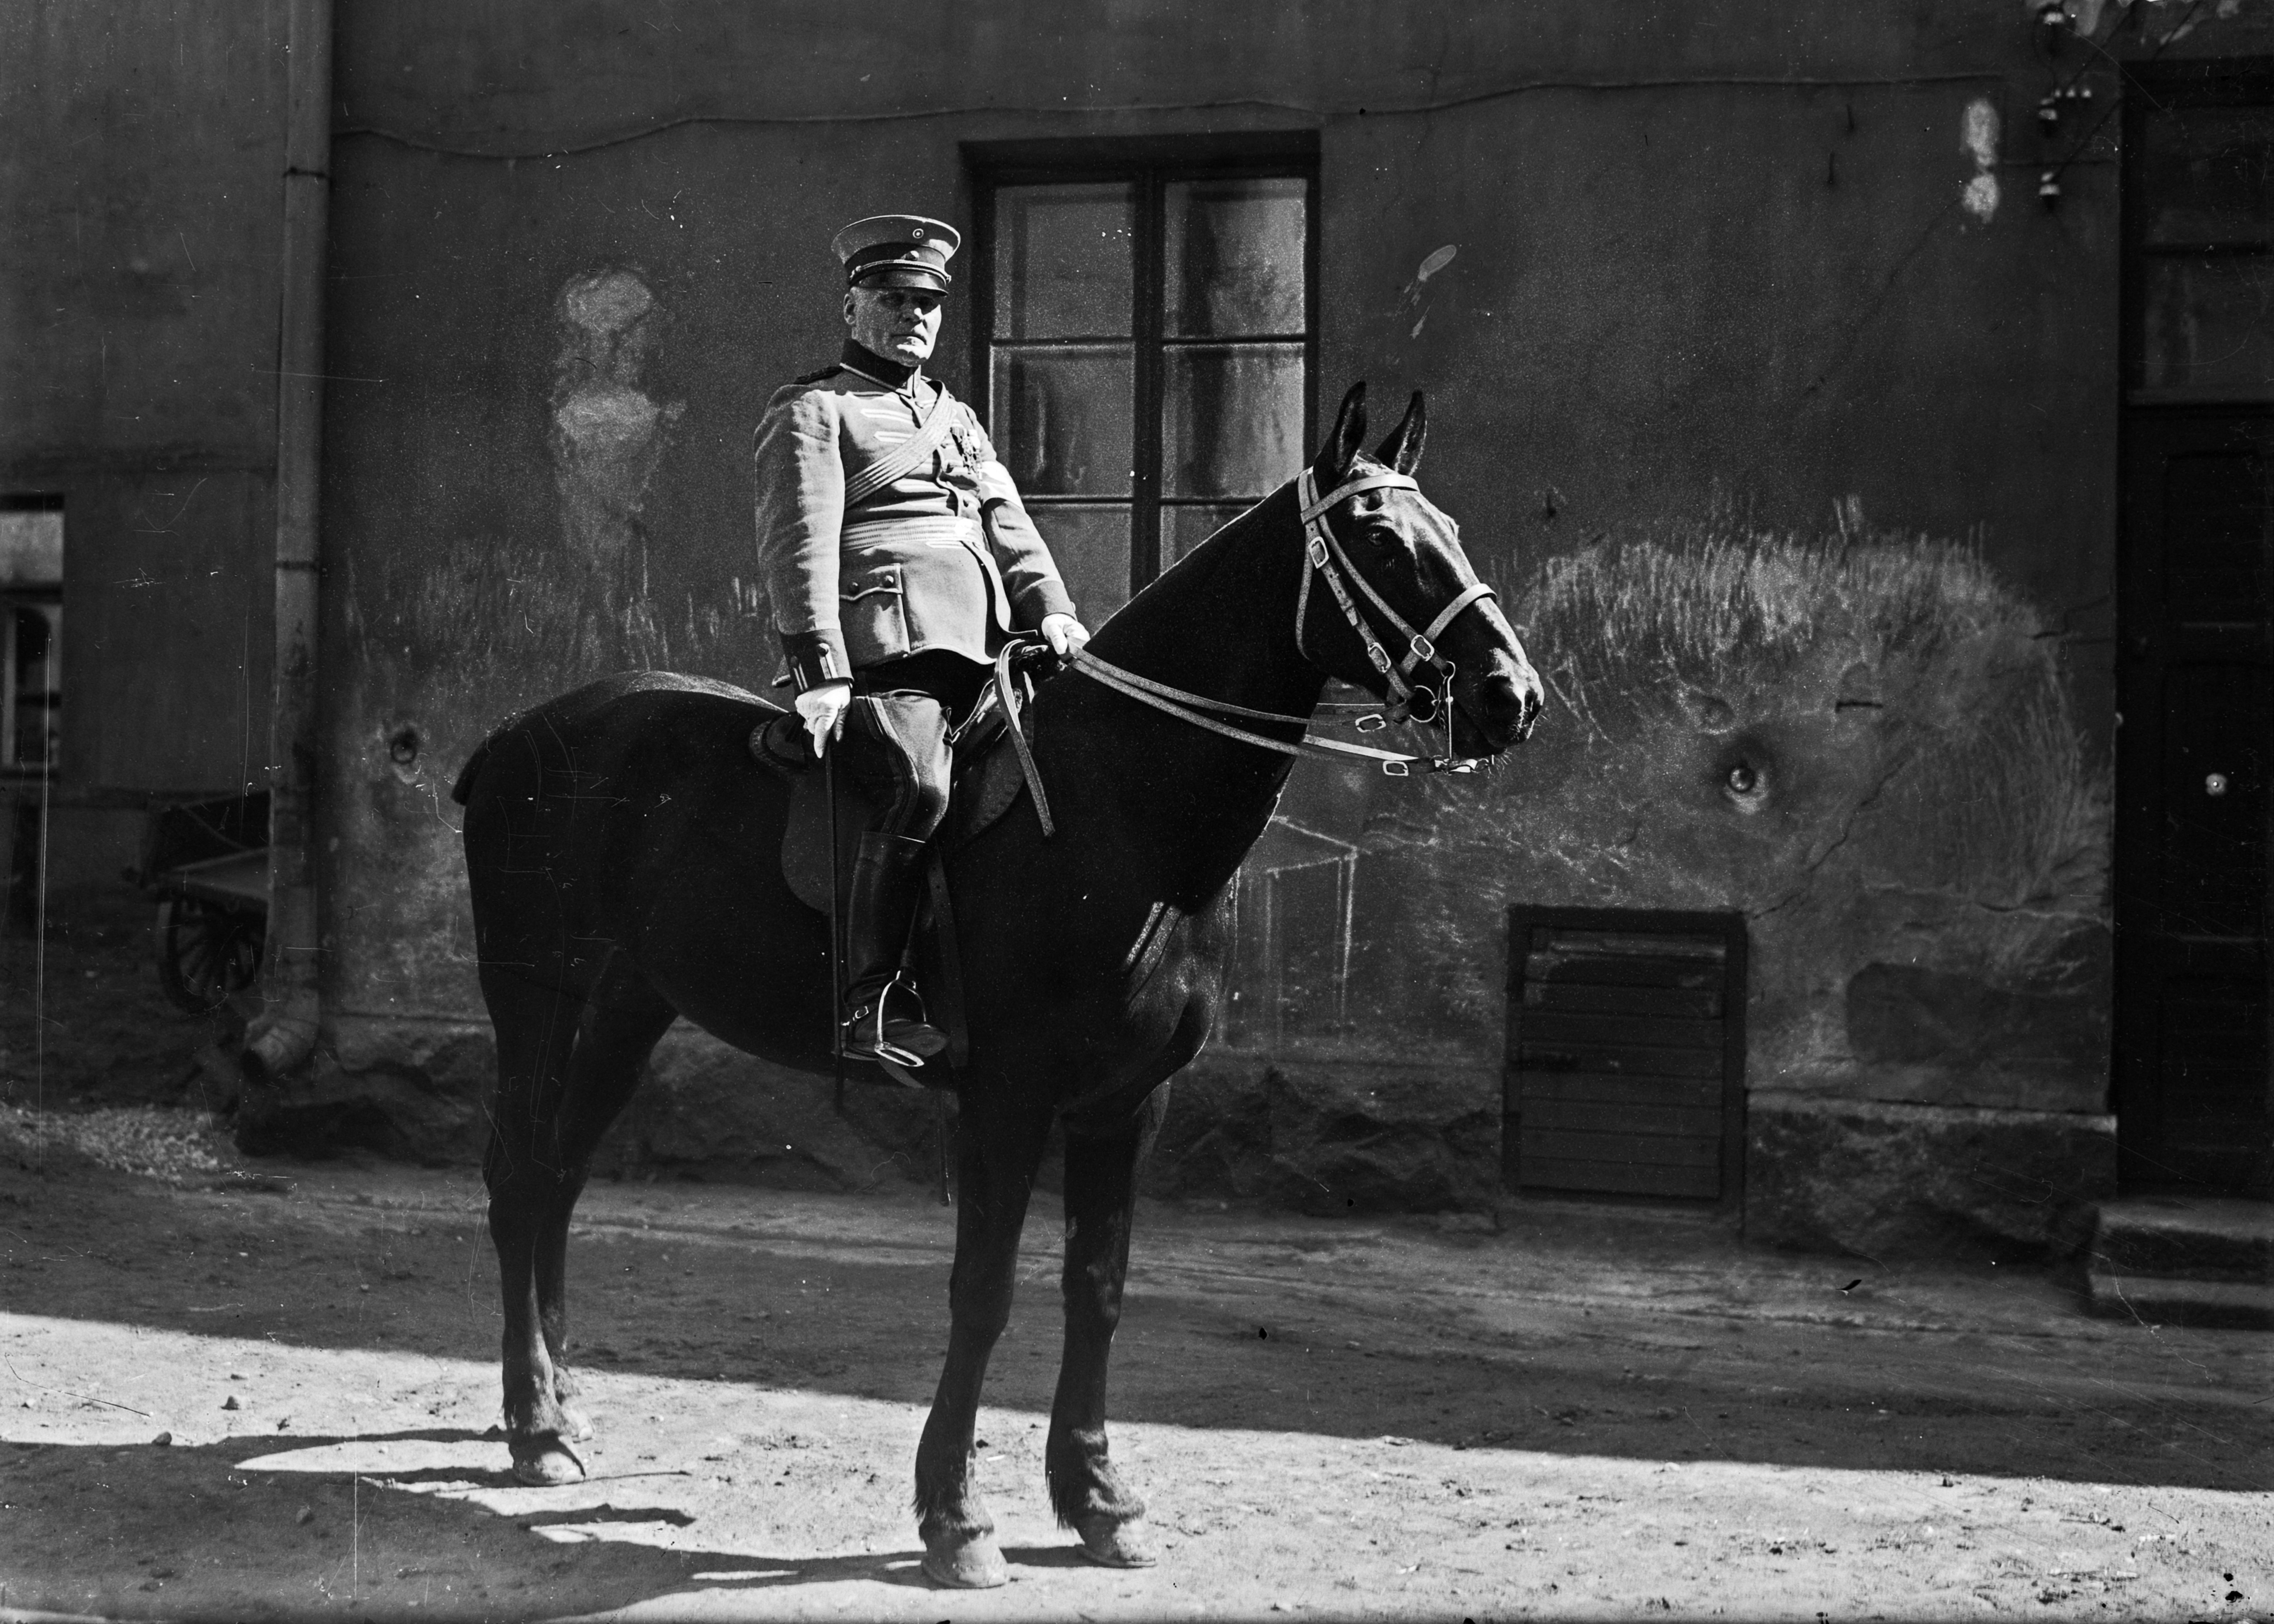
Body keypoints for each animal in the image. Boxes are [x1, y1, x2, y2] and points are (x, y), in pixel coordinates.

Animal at [448, 389, 1546, 1583]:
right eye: (1383, 543)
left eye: (1448, 529)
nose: (1513, 697)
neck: (1121, 807)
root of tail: (519, 733)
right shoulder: (1004, 1101)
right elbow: (982, 1294)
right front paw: (956, 1516)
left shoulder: (1127, 1104)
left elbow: (1096, 1289)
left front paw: (1099, 1497)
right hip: (536, 998)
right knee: (519, 1180)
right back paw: (535, 1427)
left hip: (628, 1009)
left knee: (560, 1179)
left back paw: (558, 1404)